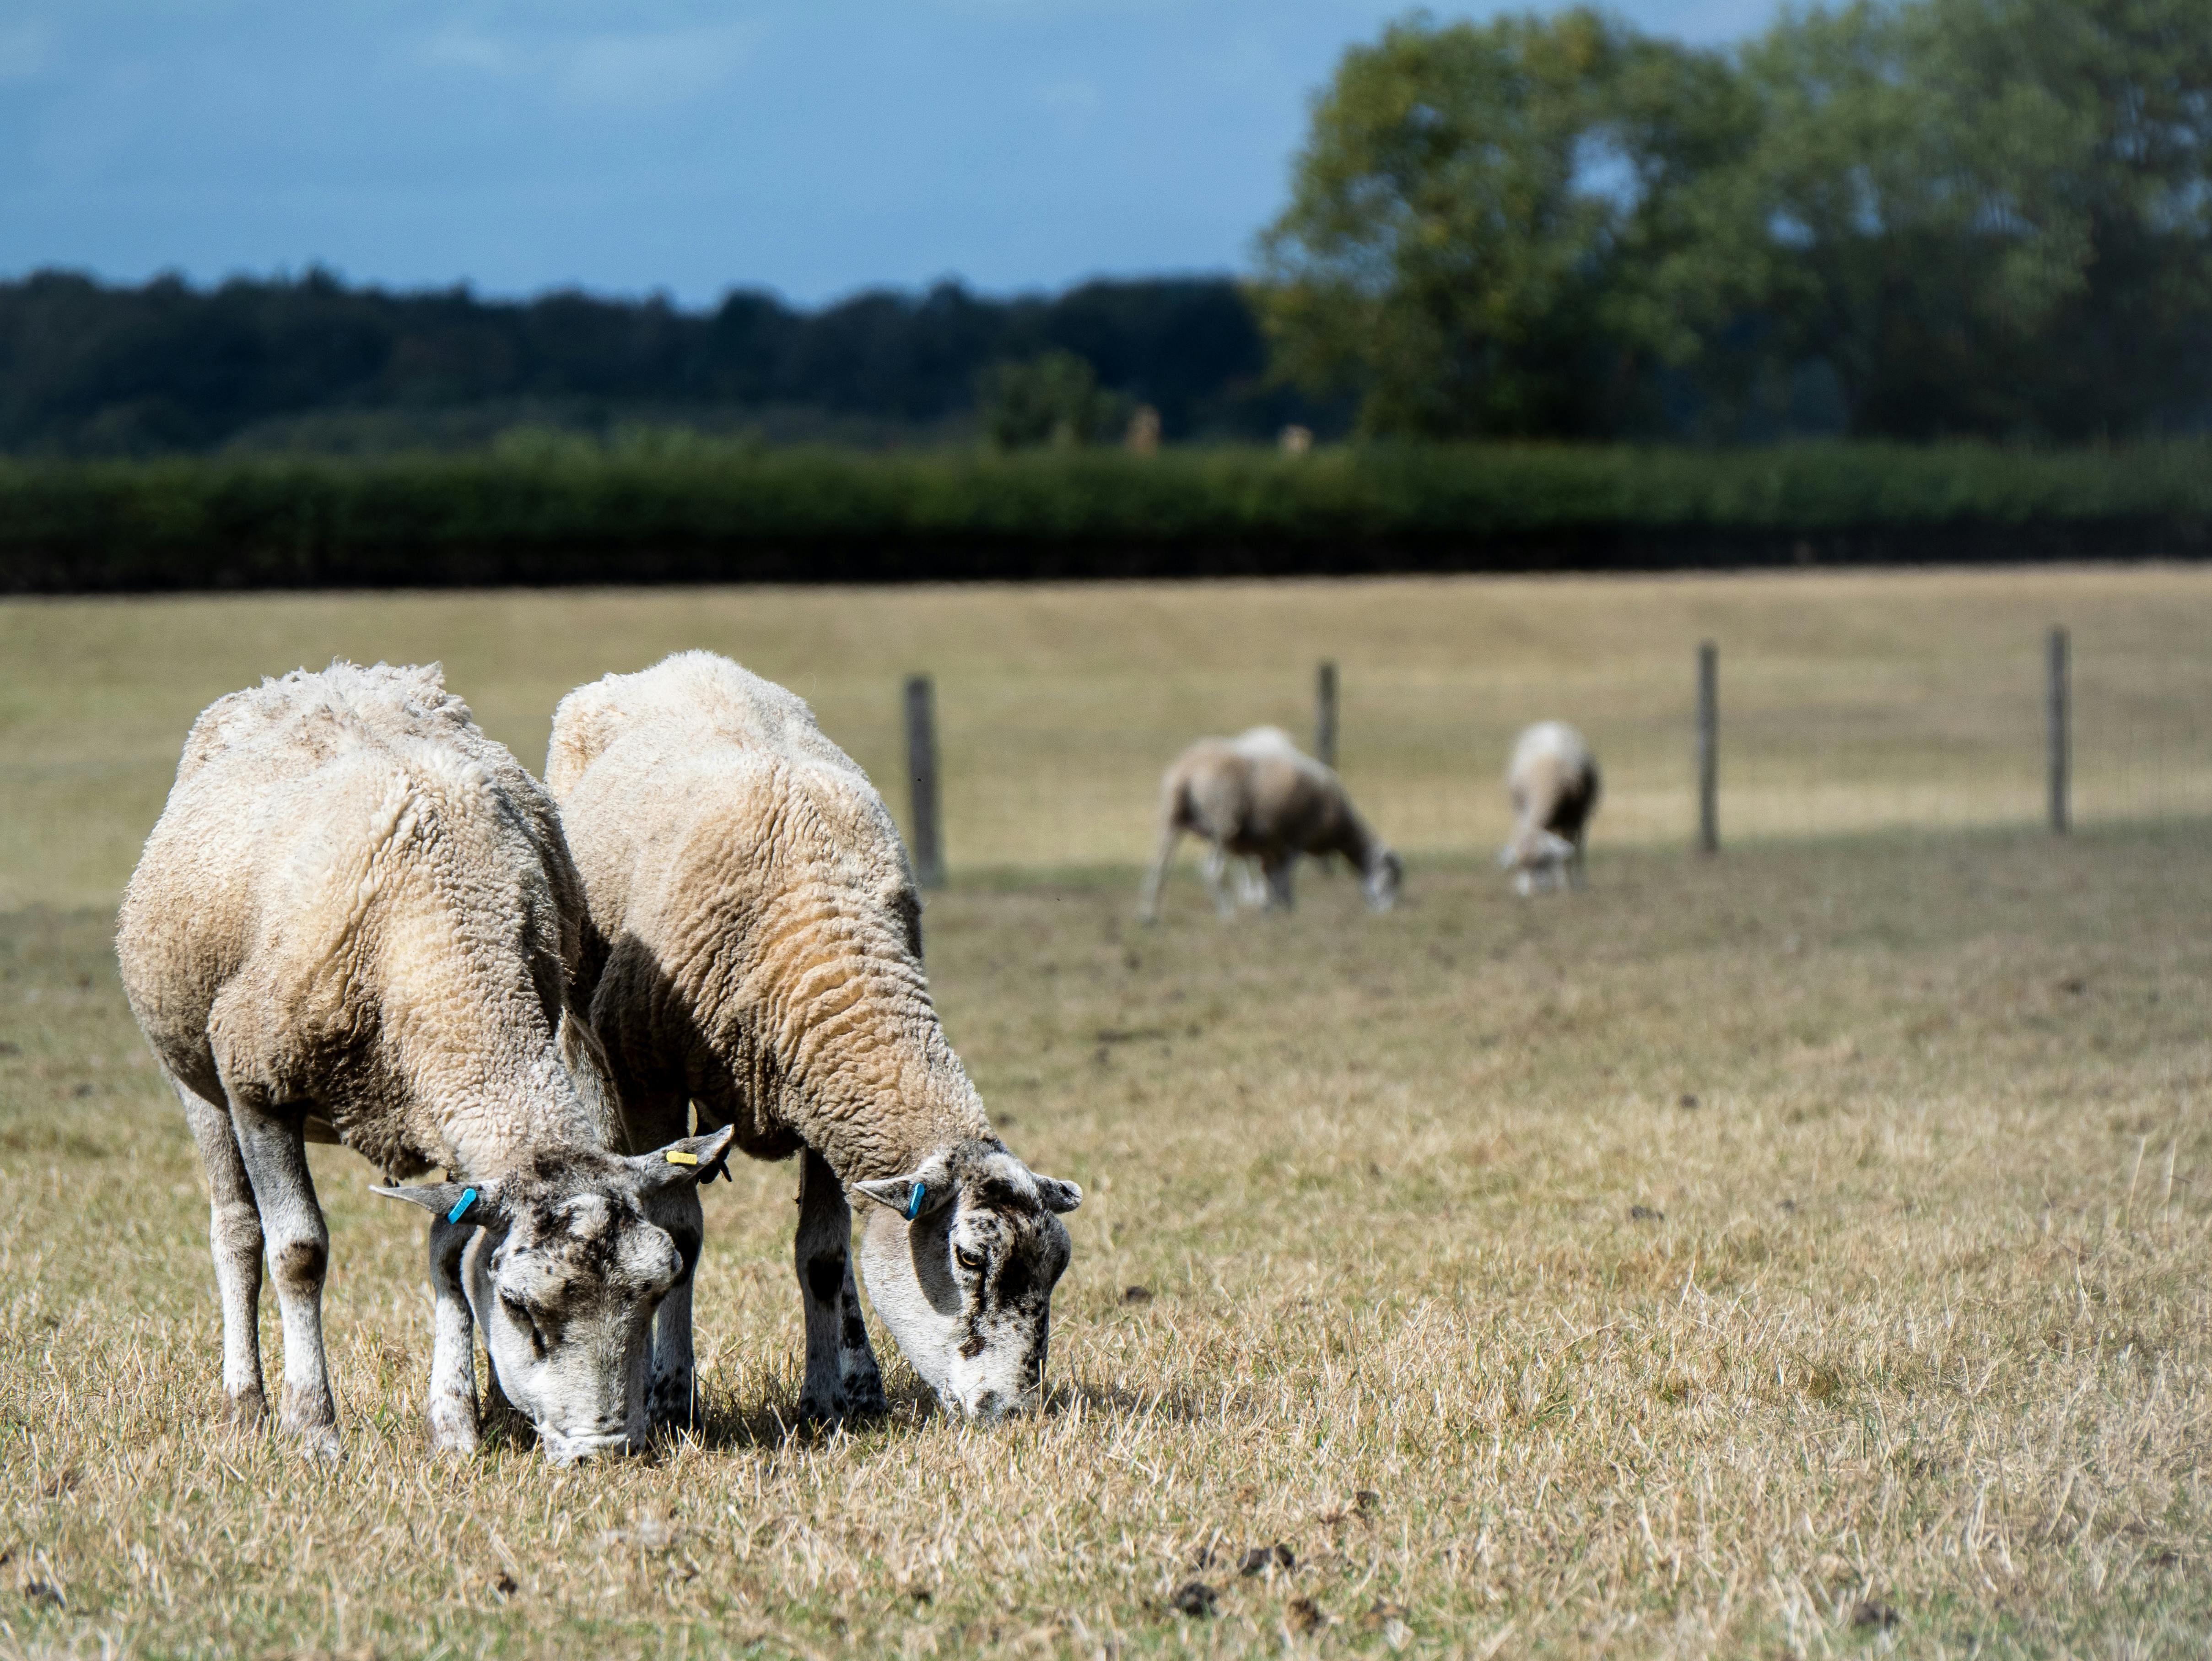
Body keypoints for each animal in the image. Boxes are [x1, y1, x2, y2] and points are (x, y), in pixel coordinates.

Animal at [115, 662, 734, 1462]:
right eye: (521, 1308)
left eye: (656, 1290)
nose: (602, 1451)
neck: (445, 940)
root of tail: (322, 674)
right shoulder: (258, 1084)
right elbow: (298, 1252)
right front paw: (314, 1429)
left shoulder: (450, 1113)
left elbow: (449, 1252)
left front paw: (457, 1424)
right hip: (196, 1070)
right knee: (237, 1231)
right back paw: (246, 1405)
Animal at [546, 651, 1081, 1426]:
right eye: (969, 1260)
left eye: (1057, 1265)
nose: (1011, 1412)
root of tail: (681, 662)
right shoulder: (650, 1080)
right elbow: (677, 1239)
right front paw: (671, 1395)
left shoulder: (827, 1098)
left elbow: (826, 1256)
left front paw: (825, 1398)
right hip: (591, 1050)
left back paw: (861, 1382)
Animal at [1137, 726, 1402, 921]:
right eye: (1389, 879)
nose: (1386, 914)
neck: (1342, 829)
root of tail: (1188, 769)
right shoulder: (1296, 840)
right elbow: (1284, 878)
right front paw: (1284, 911)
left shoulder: (1271, 847)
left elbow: (1272, 877)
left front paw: (1274, 909)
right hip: (1222, 823)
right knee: (1211, 871)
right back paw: (1228, 915)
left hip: (1172, 819)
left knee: (1159, 867)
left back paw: (1149, 917)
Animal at [1499, 721, 1601, 895]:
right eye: (1519, 867)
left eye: (1543, 862)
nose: (1531, 892)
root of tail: (1551, 724)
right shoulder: (1521, 809)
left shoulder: (1573, 816)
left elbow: (1569, 851)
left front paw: (1567, 884)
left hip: (1578, 817)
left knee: (1578, 846)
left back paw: (1577, 881)